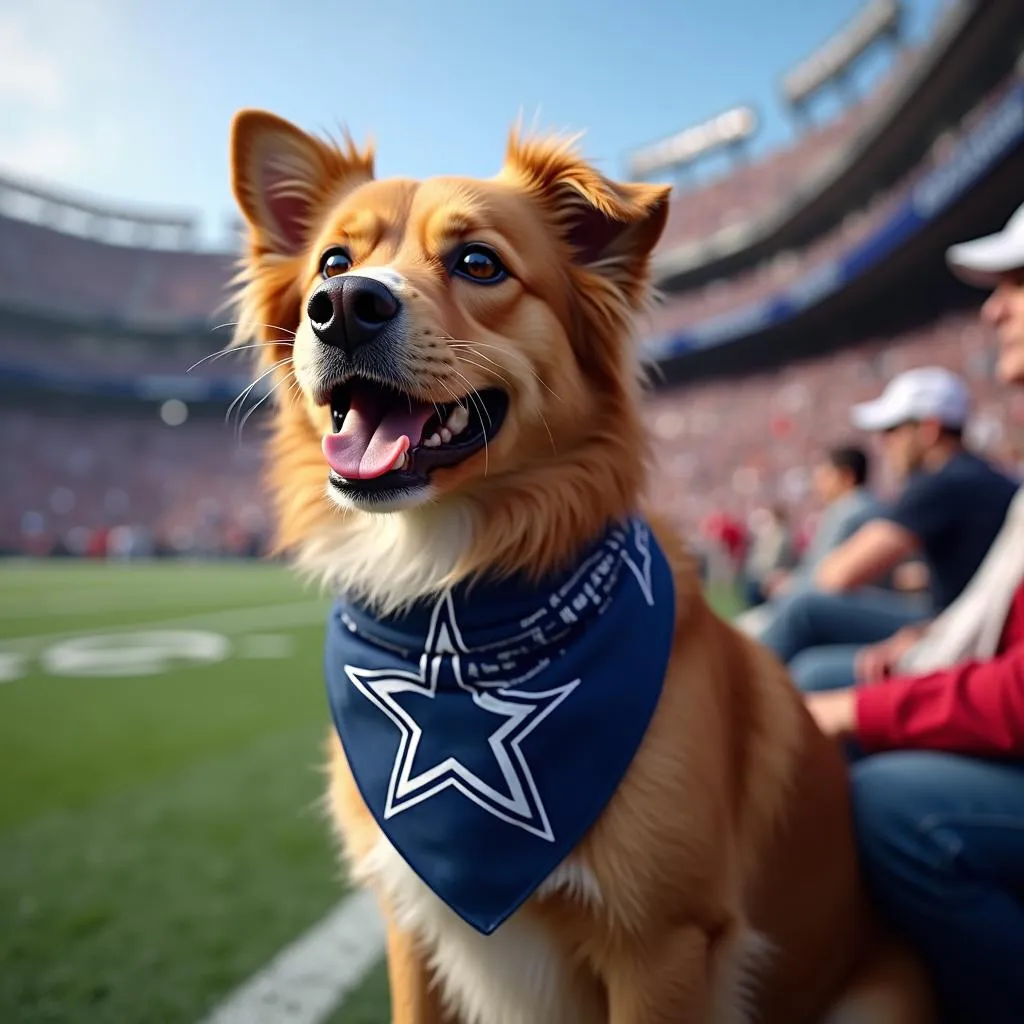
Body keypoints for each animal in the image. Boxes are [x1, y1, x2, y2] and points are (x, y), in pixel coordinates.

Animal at [228, 108, 933, 1019]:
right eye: (333, 263)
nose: (343, 306)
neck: (454, 616)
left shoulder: (662, 944)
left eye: (478, 262)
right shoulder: (409, 927)